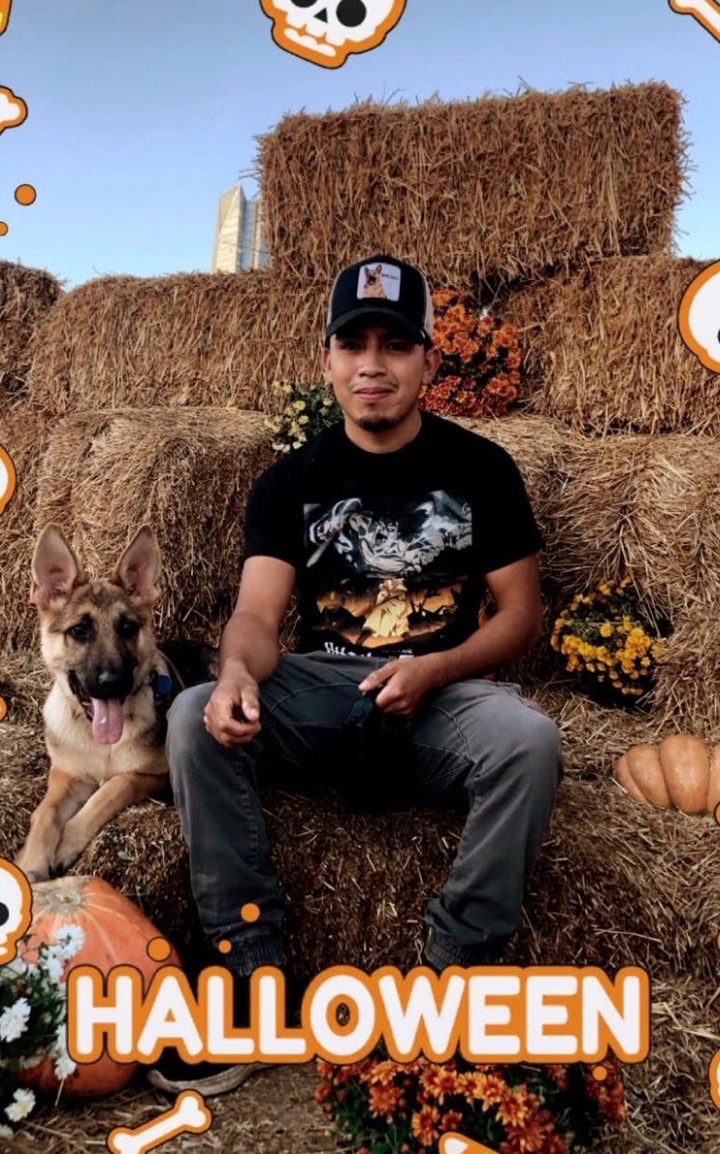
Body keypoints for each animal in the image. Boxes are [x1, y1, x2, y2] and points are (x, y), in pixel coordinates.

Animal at [15, 524, 186, 883]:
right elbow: (45, 812)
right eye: (79, 630)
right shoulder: (67, 775)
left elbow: (111, 790)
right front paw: (31, 860)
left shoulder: (152, 777)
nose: (112, 683)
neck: (100, 743)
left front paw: (67, 842)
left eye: (127, 628)